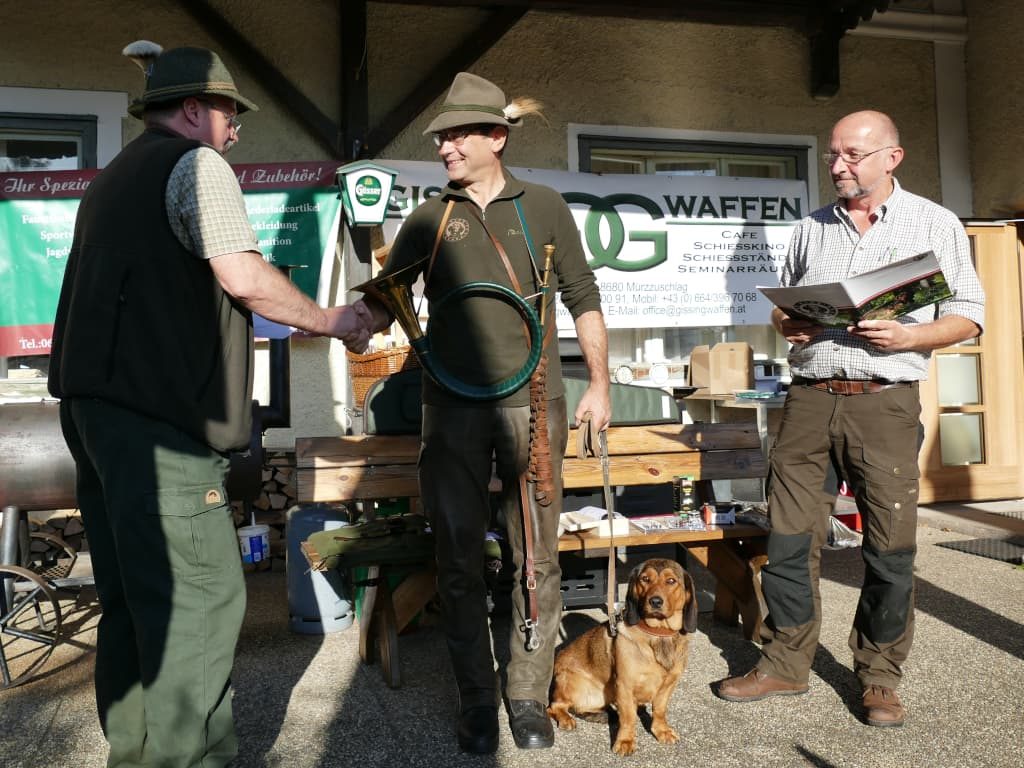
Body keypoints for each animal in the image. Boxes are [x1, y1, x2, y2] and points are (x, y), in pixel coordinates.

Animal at [548, 561, 700, 757]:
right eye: (645, 579)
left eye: (671, 581)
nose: (655, 601)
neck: (658, 633)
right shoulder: (625, 685)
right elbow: (628, 717)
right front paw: (625, 741)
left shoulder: (669, 685)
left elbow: (660, 710)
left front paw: (661, 730)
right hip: (574, 684)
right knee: (555, 706)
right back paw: (566, 719)